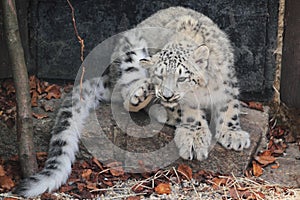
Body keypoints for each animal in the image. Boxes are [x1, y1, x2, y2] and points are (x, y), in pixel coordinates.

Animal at [13, 7, 251, 198]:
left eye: (182, 77)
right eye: (159, 76)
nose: (166, 95)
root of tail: (111, 75)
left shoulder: (227, 84)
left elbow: (229, 107)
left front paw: (233, 134)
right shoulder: (186, 99)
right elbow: (191, 112)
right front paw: (194, 136)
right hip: (131, 53)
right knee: (128, 96)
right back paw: (148, 98)